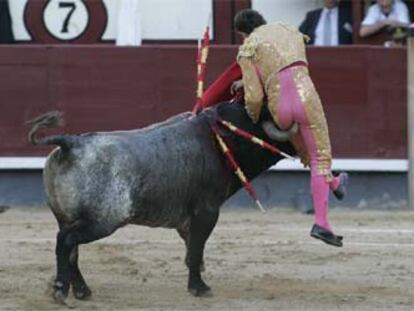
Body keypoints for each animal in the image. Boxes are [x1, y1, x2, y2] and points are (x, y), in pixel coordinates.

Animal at [28, 102, 294, 304]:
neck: (219, 139)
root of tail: (71, 143)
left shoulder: (188, 220)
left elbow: (192, 249)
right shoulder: (207, 212)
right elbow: (196, 250)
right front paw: (199, 287)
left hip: (66, 217)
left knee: (71, 250)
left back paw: (82, 291)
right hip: (102, 221)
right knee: (66, 241)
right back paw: (61, 290)